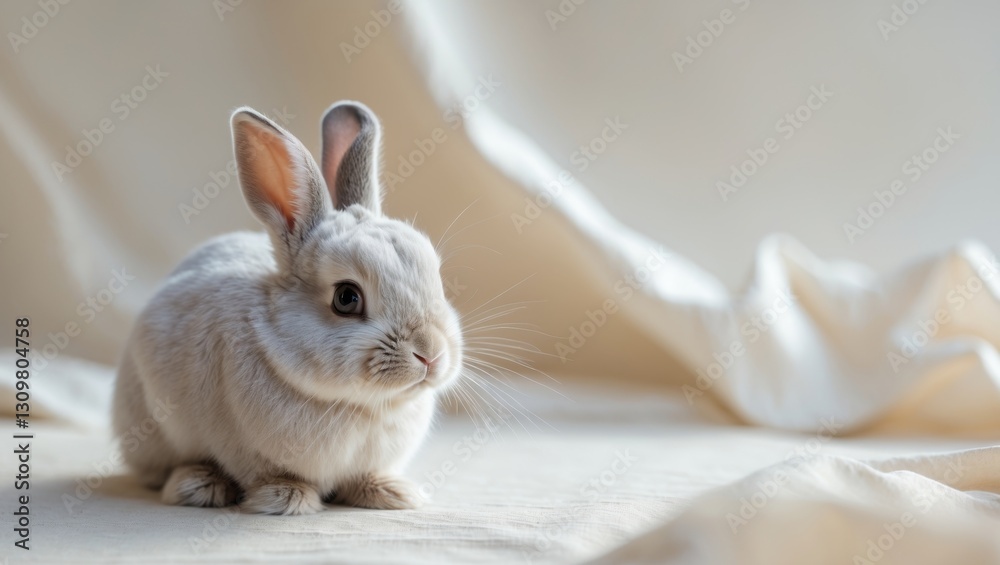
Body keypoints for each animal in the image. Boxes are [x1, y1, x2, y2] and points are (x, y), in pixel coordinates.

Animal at [111, 101, 463, 515]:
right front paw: (286, 498)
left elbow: (365, 476)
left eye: (436, 278)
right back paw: (198, 485)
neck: (362, 404)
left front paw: (393, 494)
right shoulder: (246, 450)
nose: (431, 354)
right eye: (346, 298)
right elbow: (269, 475)